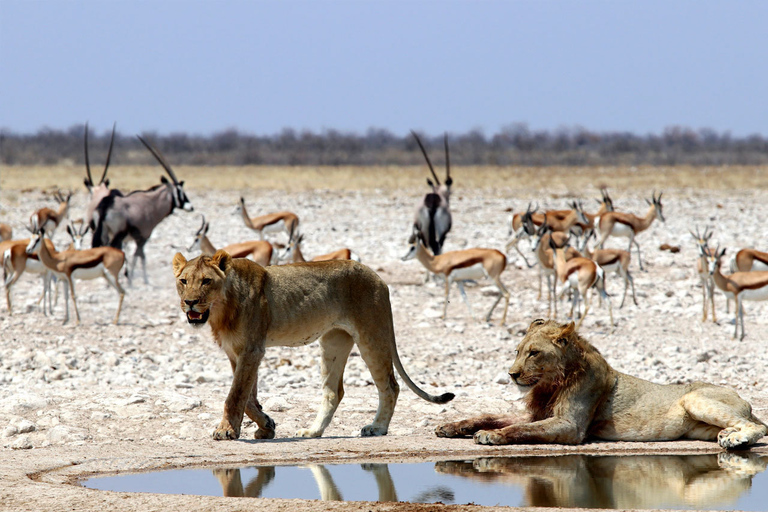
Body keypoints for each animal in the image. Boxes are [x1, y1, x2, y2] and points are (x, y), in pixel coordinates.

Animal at [92, 134, 194, 284]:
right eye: (180, 191)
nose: (190, 207)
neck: (152, 203)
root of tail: (106, 205)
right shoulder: (143, 236)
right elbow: (140, 256)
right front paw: (141, 280)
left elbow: (138, 256)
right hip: (118, 235)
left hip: (104, 233)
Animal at [171, 251, 452, 440]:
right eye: (184, 281)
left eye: (206, 281)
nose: (190, 302)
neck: (220, 311)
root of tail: (378, 277)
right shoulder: (237, 353)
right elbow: (249, 397)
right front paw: (266, 425)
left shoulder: (252, 350)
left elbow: (235, 395)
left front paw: (226, 430)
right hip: (333, 342)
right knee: (334, 392)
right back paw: (313, 431)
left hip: (372, 336)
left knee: (390, 386)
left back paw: (377, 428)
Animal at [436, 318, 764, 450]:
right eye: (517, 351)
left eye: (534, 353)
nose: (512, 374)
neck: (551, 383)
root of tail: (745, 399)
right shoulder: (537, 413)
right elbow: (489, 415)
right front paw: (450, 427)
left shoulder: (570, 426)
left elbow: (519, 429)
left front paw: (490, 436)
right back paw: (729, 436)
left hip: (695, 398)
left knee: (759, 427)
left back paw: (736, 440)